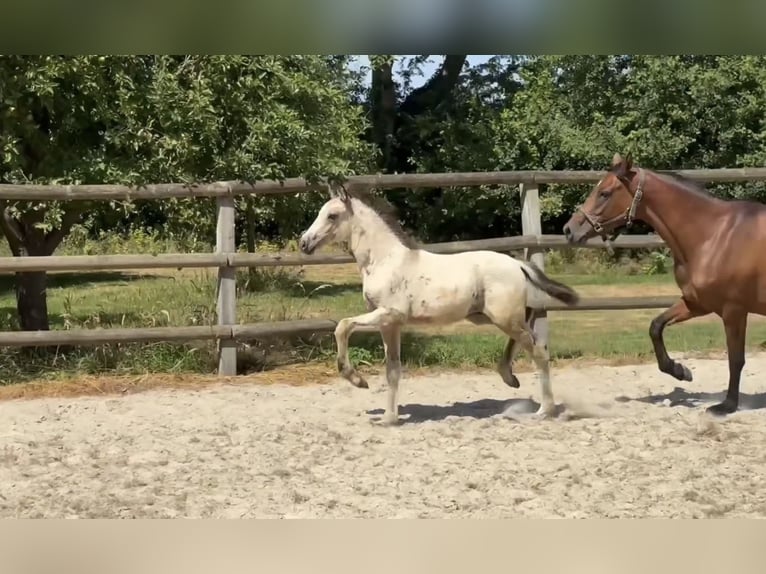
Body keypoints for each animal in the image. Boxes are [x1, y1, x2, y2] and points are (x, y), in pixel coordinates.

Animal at [298, 185, 580, 425]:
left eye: (332, 215)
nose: (304, 243)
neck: (385, 260)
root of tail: (518, 264)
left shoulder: (389, 313)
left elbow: (343, 326)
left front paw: (356, 379)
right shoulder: (390, 324)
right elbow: (393, 370)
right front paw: (388, 418)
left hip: (505, 318)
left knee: (539, 351)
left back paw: (544, 410)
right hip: (502, 316)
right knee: (528, 341)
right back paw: (509, 378)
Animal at [563, 152, 766, 416]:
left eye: (604, 193)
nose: (569, 229)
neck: (714, 236)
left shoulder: (734, 310)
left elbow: (735, 358)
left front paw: (726, 405)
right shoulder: (697, 303)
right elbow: (656, 326)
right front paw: (680, 371)